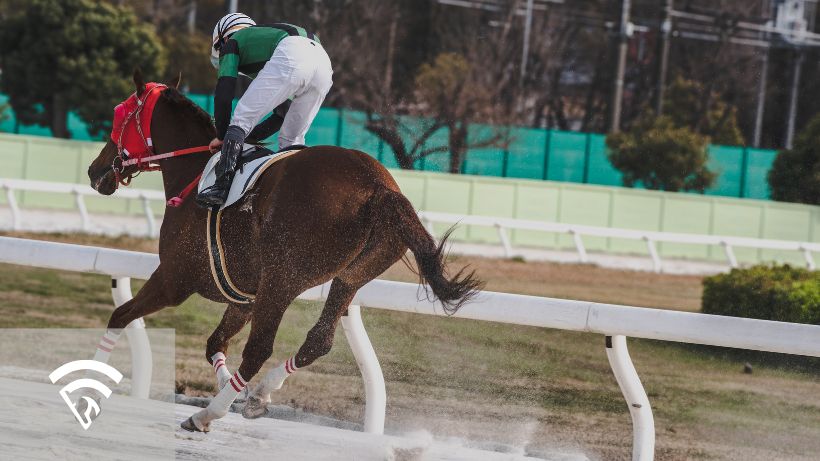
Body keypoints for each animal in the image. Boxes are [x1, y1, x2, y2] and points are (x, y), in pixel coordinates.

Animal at [85, 71, 480, 432]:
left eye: (120, 113)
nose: (95, 170)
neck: (195, 172)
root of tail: (379, 189)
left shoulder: (173, 280)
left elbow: (120, 315)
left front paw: (88, 389)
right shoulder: (243, 298)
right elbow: (214, 342)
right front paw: (242, 394)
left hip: (281, 278)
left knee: (260, 348)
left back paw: (206, 415)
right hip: (350, 276)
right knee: (318, 340)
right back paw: (258, 394)